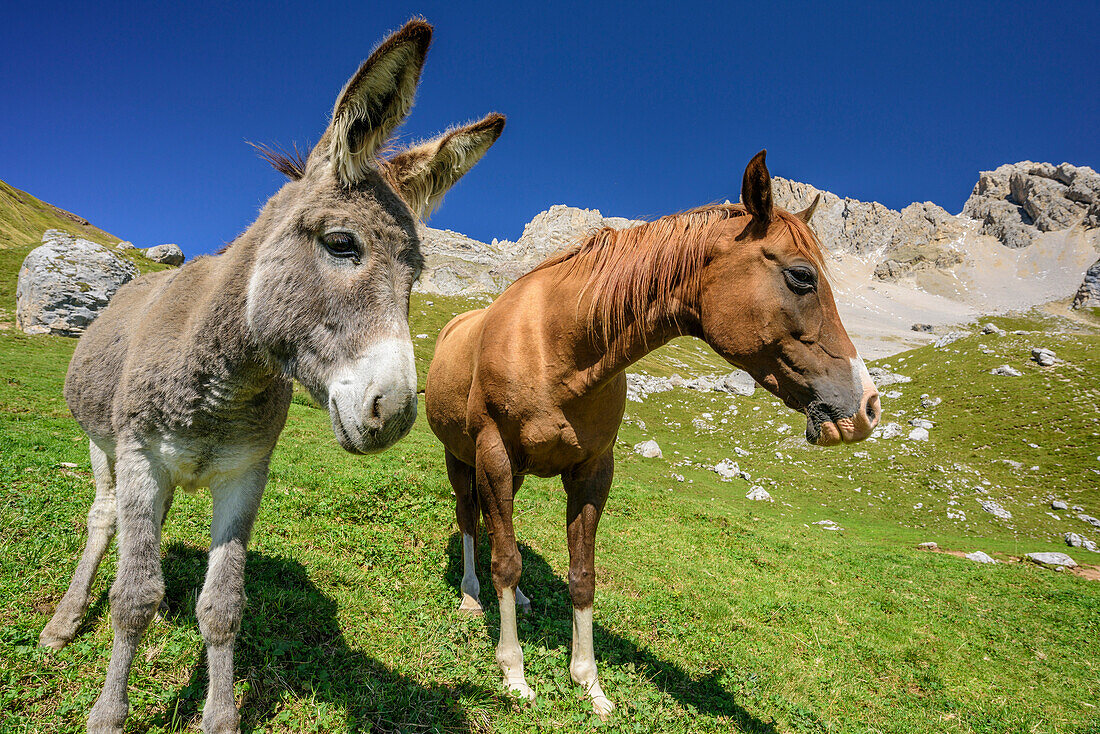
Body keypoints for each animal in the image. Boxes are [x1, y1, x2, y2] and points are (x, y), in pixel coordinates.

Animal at [40, 20, 505, 734]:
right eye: (341, 243)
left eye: (417, 276)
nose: (394, 414)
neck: (222, 377)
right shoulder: (141, 454)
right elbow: (134, 596)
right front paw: (108, 714)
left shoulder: (245, 472)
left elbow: (223, 604)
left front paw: (220, 715)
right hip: (103, 443)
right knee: (103, 517)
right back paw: (64, 621)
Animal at [424, 151, 880, 717]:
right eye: (802, 276)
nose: (867, 406)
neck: (554, 345)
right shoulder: (495, 457)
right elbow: (505, 562)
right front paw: (514, 674)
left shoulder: (592, 473)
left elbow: (582, 576)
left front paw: (590, 685)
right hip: (463, 460)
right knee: (470, 520)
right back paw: (470, 594)